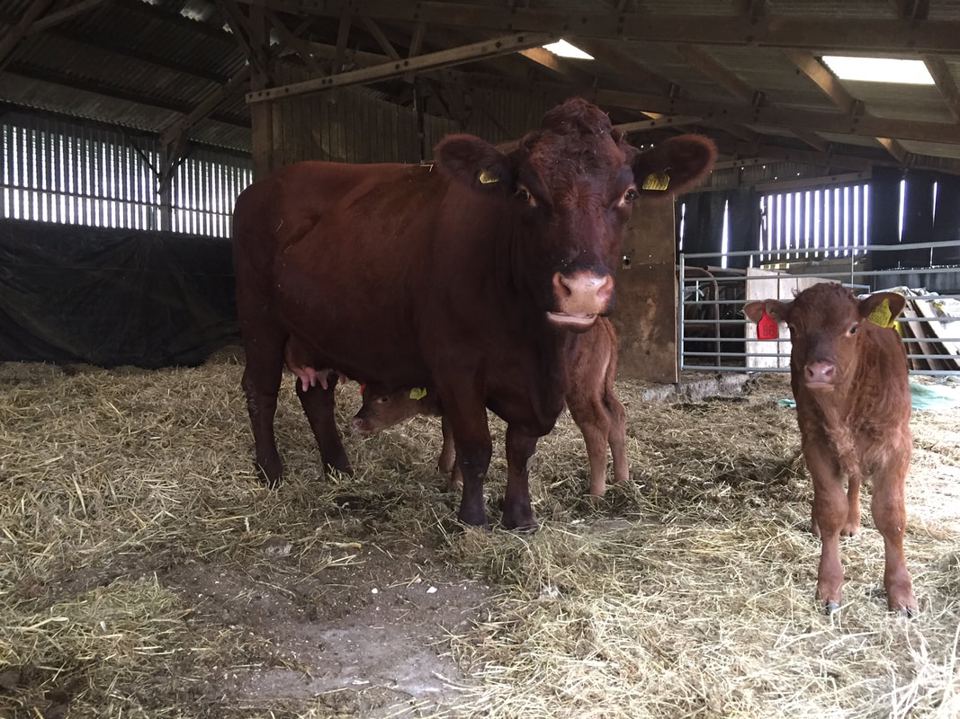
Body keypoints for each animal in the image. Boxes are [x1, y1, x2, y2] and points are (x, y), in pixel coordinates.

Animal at [352, 317, 627, 497]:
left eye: (383, 398)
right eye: (364, 394)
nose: (357, 421)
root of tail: (601, 322)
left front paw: (455, 483)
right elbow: (447, 431)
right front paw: (443, 465)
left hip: (581, 389)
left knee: (596, 426)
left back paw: (596, 493)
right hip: (601, 387)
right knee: (617, 415)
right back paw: (622, 480)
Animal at [745, 283, 917, 615]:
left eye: (853, 328)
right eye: (794, 328)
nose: (819, 371)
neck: (843, 408)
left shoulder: (897, 444)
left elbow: (891, 516)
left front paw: (901, 592)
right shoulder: (815, 442)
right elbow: (830, 509)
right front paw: (829, 585)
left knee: (856, 478)